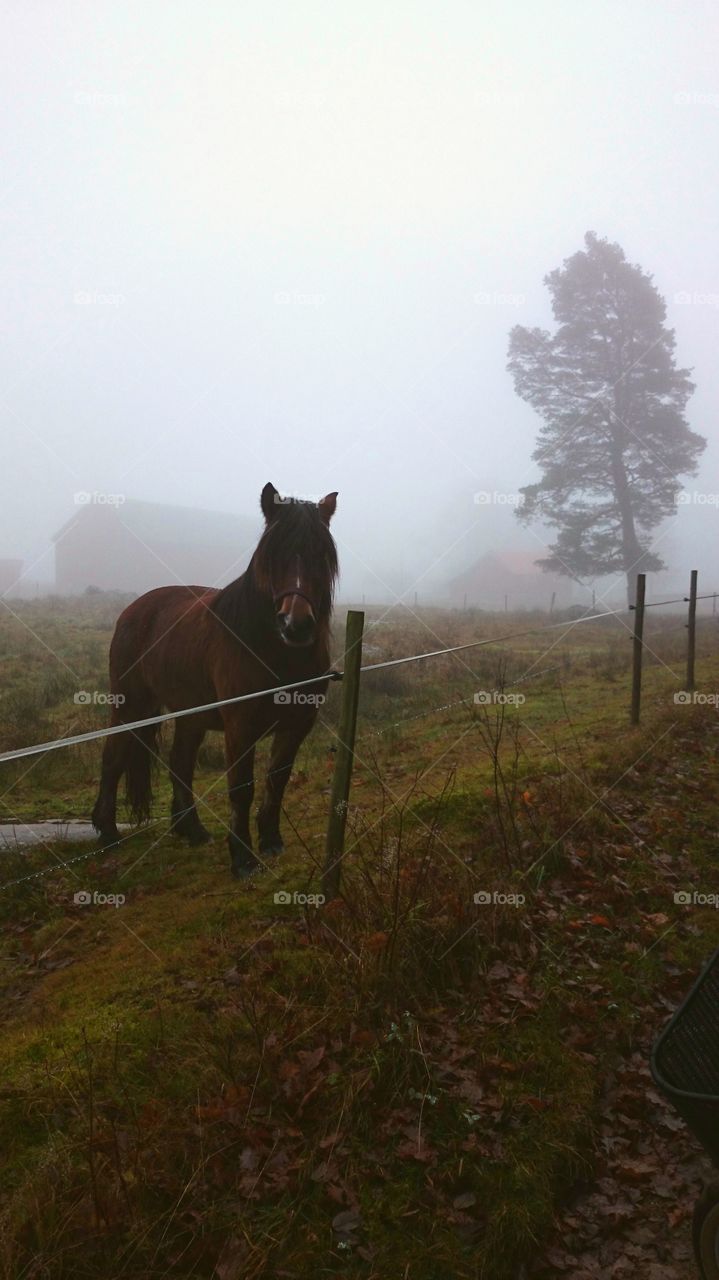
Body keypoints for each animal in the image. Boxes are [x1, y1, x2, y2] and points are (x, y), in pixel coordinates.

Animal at [91, 483, 338, 877]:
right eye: (272, 554)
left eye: (322, 555)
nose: (295, 624)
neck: (272, 649)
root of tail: (134, 609)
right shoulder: (240, 725)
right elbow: (241, 788)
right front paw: (242, 858)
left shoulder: (298, 723)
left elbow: (277, 779)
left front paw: (271, 842)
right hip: (131, 705)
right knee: (114, 756)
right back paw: (108, 831)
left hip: (190, 715)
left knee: (180, 763)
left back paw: (191, 830)